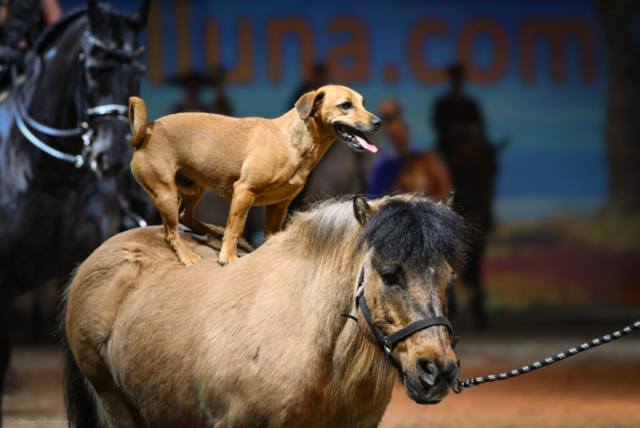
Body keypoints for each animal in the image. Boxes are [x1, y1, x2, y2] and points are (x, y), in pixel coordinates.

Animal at [129, 84, 380, 264]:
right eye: (345, 105)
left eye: (363, 103)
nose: (378, 122)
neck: (291, 141)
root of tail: (146, 130)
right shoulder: (244, 192)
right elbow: (236, 226)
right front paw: (227, 257)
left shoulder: (279, 206)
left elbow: (270, 234)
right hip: (165, 194)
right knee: (170, 233)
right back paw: (189, 256)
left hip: (193, 189)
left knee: (185, 217)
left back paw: (213, 233)